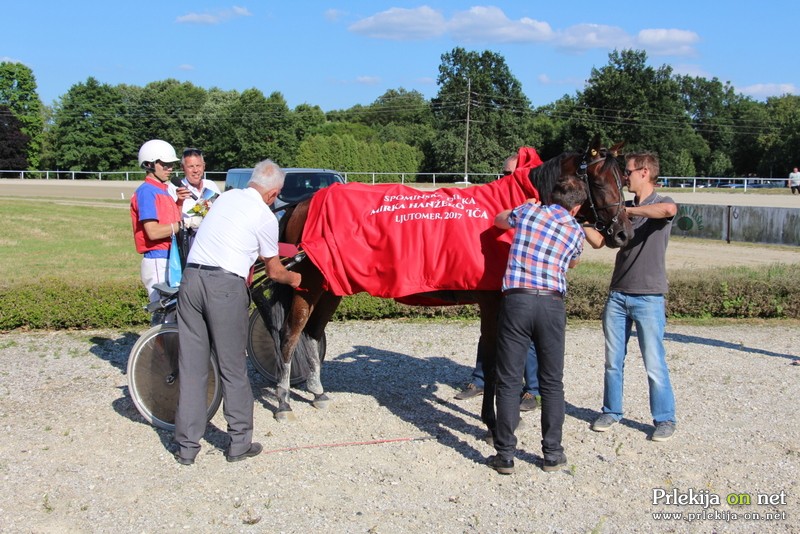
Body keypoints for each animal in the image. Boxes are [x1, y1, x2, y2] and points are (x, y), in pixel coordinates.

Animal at [262, 138, 632, 432]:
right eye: (600, 183)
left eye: (623, 181)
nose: (623, 233)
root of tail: (302, 203)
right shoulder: (493, 304)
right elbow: (494, 362)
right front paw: (493, 421)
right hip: (308, 286)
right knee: (290, 336)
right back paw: (283, 402)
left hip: (332, 287)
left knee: (312, 334)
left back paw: (317, 392)